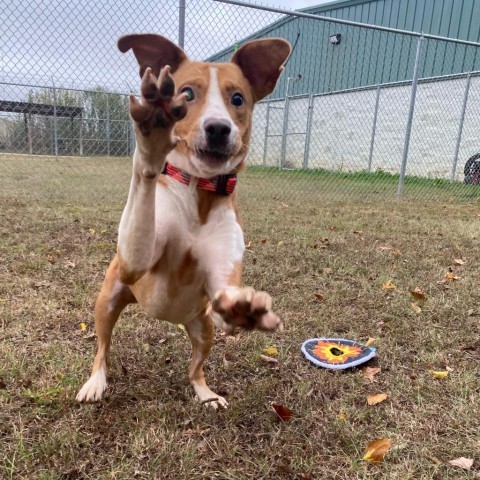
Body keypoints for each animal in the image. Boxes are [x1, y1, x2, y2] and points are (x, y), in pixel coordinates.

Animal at [77, 33, 290, 408]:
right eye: (187, 94)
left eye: (238, 98)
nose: (218, 128)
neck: (199, 195)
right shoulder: (135, 261)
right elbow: (144, 179)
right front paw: (152, 135)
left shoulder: (221, 278)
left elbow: (227, 297)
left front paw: (245, 308)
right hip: (108, 301)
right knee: (103, 348)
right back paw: (95, 382)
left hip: (203, 329)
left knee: (196, 368)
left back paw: (206, 394)